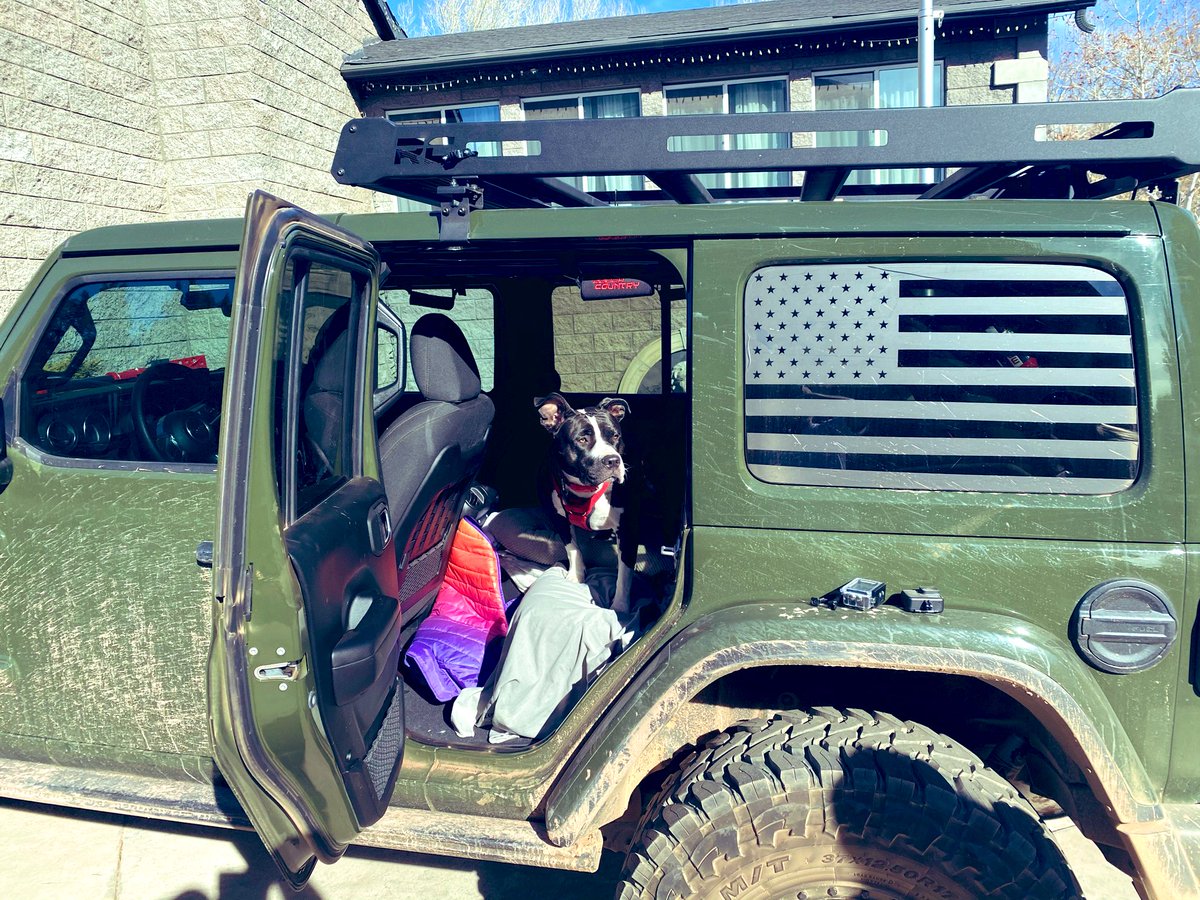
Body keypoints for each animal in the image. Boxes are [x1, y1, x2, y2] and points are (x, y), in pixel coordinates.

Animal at [540, 393, 643, 614]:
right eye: (582, 439)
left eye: (615, 436)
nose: (612, 460)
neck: (585, 490)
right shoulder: (558, 518)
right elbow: (572, 548)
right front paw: (576, 575)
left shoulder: (628, 529)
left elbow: (625, 572)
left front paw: (620, 607)